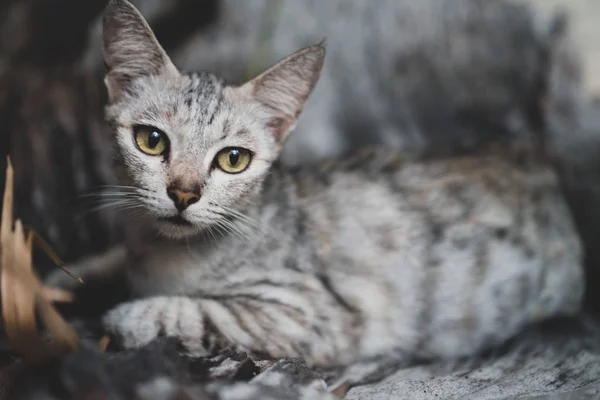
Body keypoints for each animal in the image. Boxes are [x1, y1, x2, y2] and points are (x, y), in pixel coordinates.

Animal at [48, 0, 584, 388]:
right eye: (151, 140)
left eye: (233, 159)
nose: (183, 193)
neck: (161, 252)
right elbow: (102, 264)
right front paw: (60, 279)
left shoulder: (316, 314)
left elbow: (189, 311)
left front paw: (123, 315)